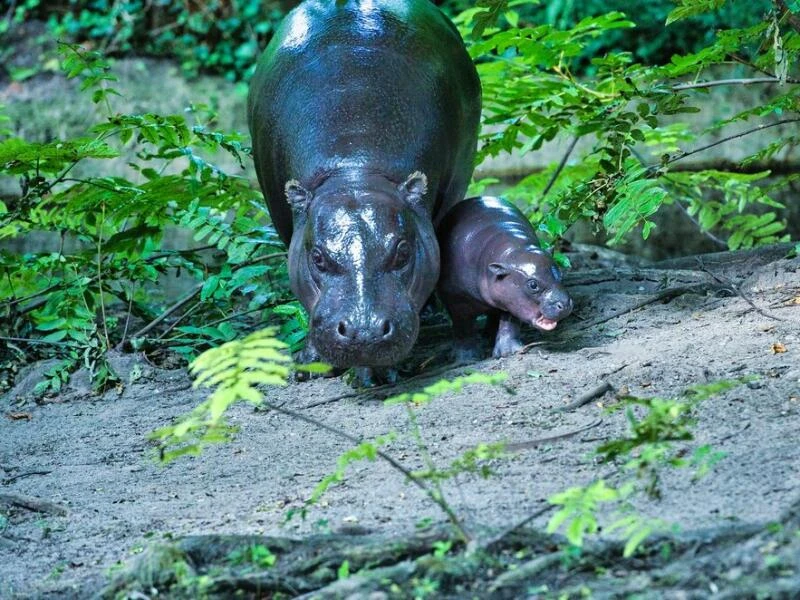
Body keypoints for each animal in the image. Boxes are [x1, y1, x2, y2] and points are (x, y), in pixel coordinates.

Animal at [438, 196, 576, 360]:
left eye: (560, 274)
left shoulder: (512, 299)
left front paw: (509, 352)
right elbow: (463, 326)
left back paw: (489, 337)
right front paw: (467, 359)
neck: (512, 251)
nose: (565, 304)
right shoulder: (456, 298)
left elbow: (509, 321)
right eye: (533, 285)